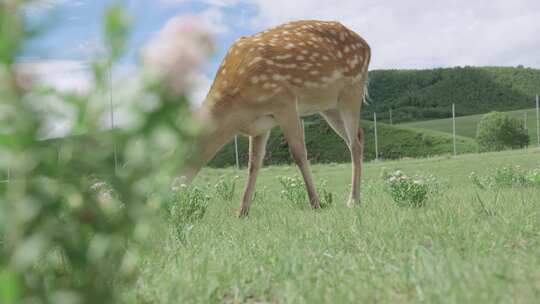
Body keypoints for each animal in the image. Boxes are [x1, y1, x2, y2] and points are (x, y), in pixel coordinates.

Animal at [184, 19, 370, 216]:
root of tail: (367, 45)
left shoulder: (285, 102)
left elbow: (298, 153)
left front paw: (316, 203)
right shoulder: (259, 125)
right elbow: (253, 162)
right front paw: (242, 211)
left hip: (352, 90)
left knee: (355, 144)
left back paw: (353, 200)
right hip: (329, 106)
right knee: (357, 136)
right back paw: (356, 197)